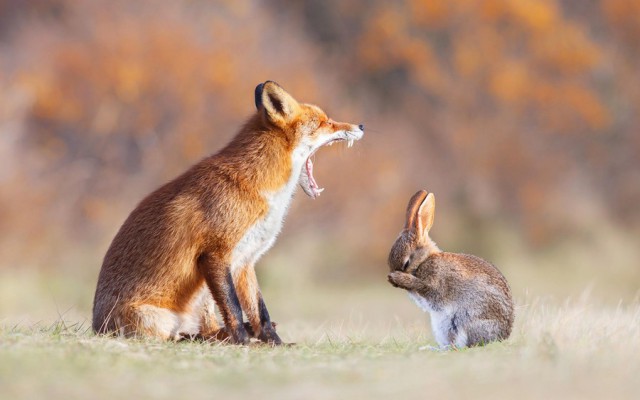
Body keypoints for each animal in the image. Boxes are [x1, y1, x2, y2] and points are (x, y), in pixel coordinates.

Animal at [94, 80, 364, 344]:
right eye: (325, 122)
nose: (361, 125)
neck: (259, 187)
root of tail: (97, 327)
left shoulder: (245, 260)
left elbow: (260, 311)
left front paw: (274, 343)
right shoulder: (215, 253)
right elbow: (233, 308)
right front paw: (243, 342)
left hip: (202, 297)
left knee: (209, 329)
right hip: (158, 317)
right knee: (176, 336)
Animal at [384, 191, 516, 350]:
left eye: (406, 263)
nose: (392, 279)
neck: (425, 259)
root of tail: (501, 337)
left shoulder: (436, 283)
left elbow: (426, 288)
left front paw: (399, 278)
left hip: (464, 321)